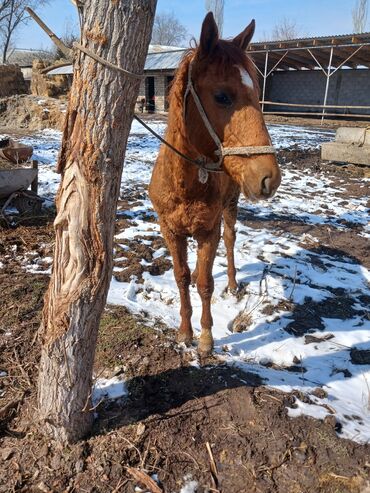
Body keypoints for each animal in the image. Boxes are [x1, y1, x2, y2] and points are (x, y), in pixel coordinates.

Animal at [148, 11, 280, 356]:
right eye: (222, 96)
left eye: (256, 91)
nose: (270, 177)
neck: (184, 185)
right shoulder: (171, 231)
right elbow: (181, 277)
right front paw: (185, 331)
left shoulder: (209, 230)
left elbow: (206, 283)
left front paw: (206, 338)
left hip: (230, 207)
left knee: (231, 241)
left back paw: (232, 284)